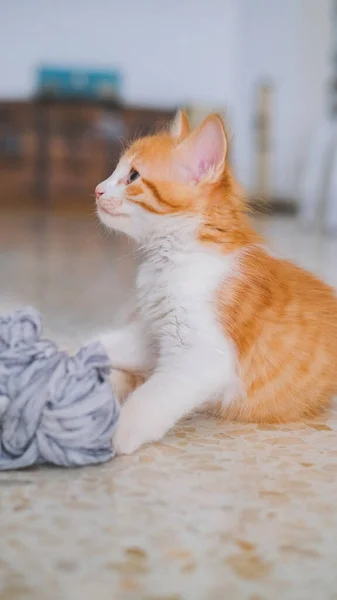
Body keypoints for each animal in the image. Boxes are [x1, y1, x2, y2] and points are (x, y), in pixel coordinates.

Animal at [94, 111, 336, 454]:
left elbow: (150, 399)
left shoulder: (203, 355)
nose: (98, 189)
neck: (171, 258)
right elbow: (103, 343)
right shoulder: (155, 334)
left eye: (133, 177)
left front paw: (118, 431)